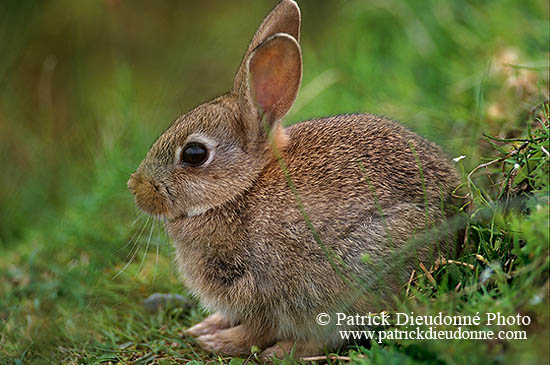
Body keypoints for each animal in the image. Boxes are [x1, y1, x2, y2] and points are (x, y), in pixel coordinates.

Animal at [128, 0, 462, 360]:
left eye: (194, 154)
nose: (136, 188)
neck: (242, 190)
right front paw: (206, 327)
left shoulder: (262, 289)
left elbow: (257, 328)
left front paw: (219, 342)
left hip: (357, 270)